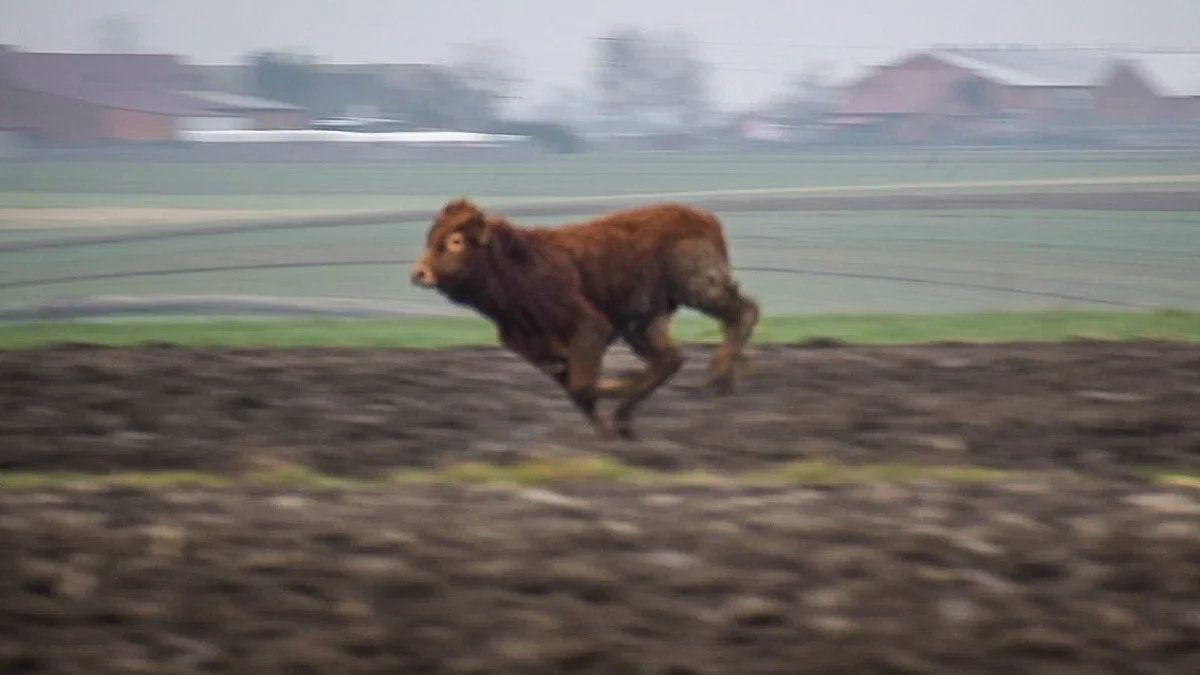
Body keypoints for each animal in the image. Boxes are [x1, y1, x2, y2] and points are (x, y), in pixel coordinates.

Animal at [408, 196, 753, 439]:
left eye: (455, 241)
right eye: (429, 238)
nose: (419, 273)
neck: (518, 267)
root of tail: (704, 218)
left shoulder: (589, 330)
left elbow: (582, 386)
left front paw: (613, 387)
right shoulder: (540, 352)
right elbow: (577, 392)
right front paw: (609, 430)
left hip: (699, 289)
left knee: (743, 311)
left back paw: (720, 373)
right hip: (642, 324)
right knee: (669, 359)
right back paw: (626, 416)